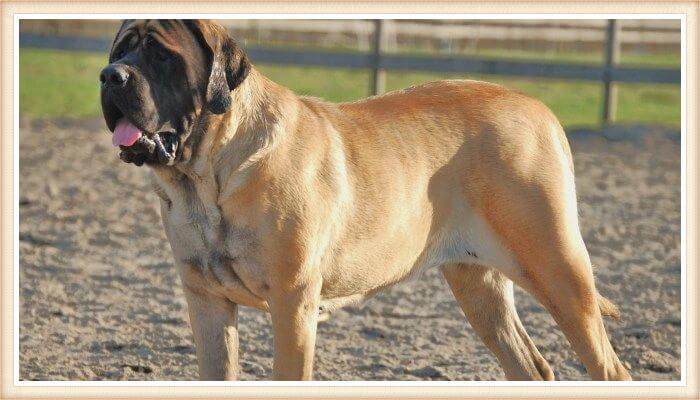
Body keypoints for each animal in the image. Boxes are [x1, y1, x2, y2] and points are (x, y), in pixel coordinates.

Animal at [97, 19, 628, 382]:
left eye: (161, 55)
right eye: (119, 50)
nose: (109, 76)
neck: (207, 178)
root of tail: (539, 108)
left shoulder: (292, 302)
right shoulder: (206, 300)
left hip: (559, 270)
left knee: (608, 367)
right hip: (479, 287)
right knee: (530, 365)